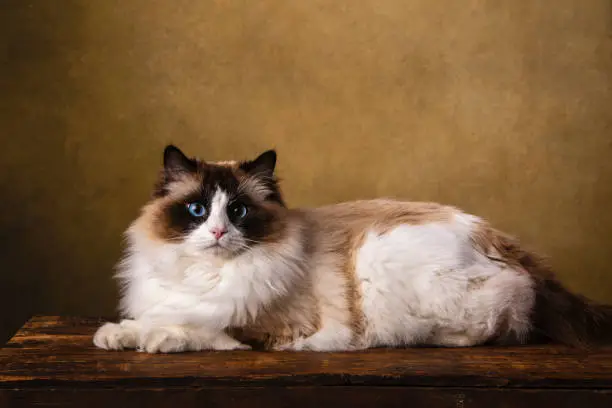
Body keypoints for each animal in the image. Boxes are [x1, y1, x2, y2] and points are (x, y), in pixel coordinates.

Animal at [92, 145, 612, 352]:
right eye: (198, 210)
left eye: (238, 211)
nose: (218, 233)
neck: (207, 274)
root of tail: (503, 241)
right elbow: (150, 318)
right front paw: (117, 335)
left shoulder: (261, 328)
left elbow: (195, 328)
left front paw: (157, 340)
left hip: (381, 257)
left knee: (494, 327)